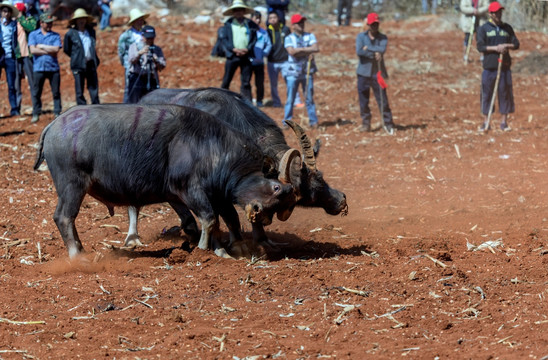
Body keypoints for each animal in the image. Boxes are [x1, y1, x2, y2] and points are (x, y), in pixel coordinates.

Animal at [33, 104, 296, 258]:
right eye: (276, 188)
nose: (264, 217)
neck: (211, 146)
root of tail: (54, 124)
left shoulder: (216, 194)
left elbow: (227, 218)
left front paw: (227, 248)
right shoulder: (190, 191)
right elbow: (210, 219)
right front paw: (204, 249)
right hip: (72, 186)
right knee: (64, 217)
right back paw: (77, 254)